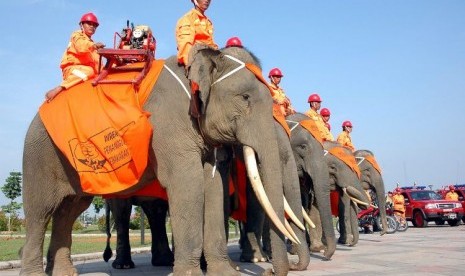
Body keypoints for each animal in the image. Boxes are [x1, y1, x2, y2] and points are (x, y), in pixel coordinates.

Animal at [20, 46, 298, 274]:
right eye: (245, 98)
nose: (275, 270)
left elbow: (213, 185)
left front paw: (225, 273)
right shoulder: (170, 123)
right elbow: (188, 184)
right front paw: (191, 274)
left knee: (70, 209)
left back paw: (65, 273)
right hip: (38, 155)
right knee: (40, 212)